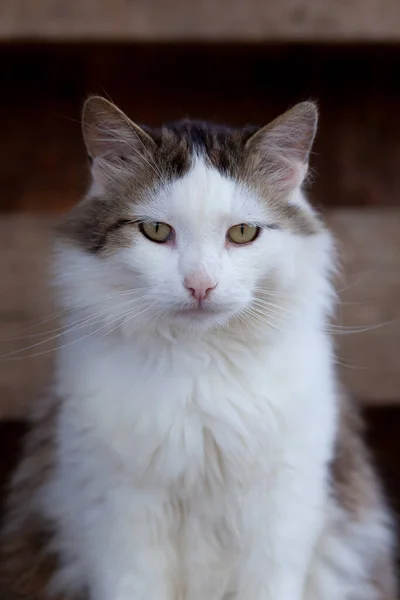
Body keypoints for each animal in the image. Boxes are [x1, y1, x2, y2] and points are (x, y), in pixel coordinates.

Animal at [1, 98, 398, 600]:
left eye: (243, 233)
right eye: (156, 230)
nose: (200, 285)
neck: (198, 366)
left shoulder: (280, 513)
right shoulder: (120, 514)